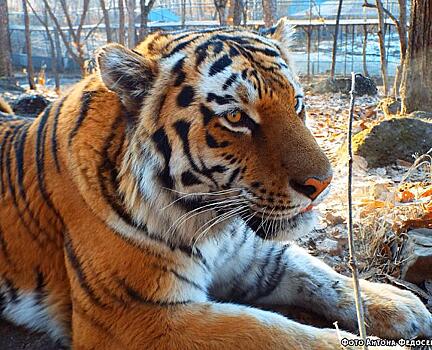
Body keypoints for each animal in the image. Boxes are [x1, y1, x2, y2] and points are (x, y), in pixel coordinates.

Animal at [0, 19, 430, 350]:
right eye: (236, 117)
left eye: (297, 104)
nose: (323, 184)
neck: (209, 221)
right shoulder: (140, 316)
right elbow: (272, 331)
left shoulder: (252, 257)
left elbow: (315, 270)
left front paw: (401, 304)